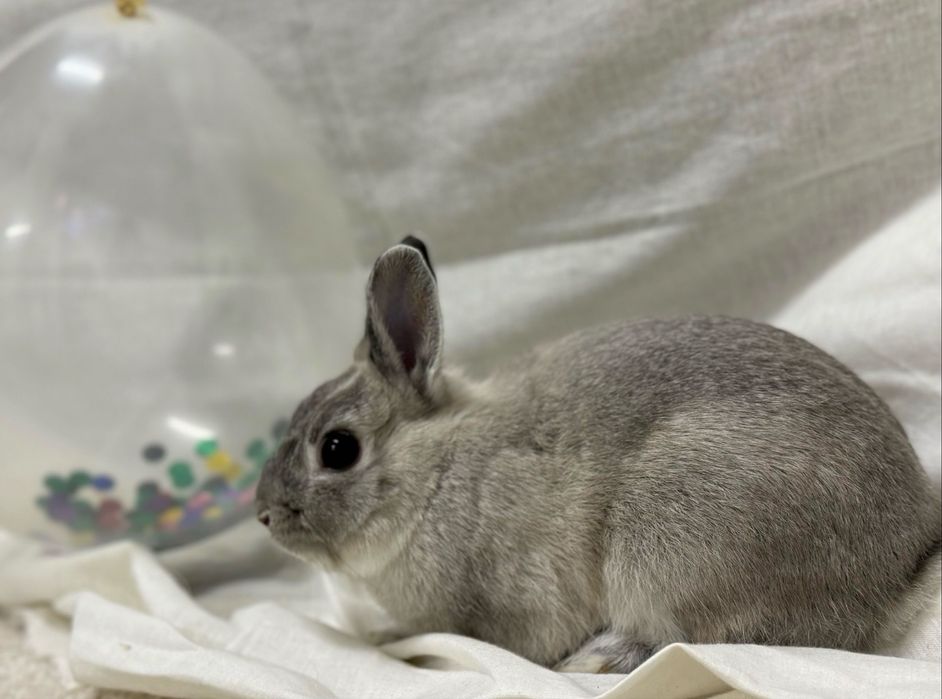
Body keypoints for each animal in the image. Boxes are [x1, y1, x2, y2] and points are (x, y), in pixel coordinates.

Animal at [256, 235, 942, 674]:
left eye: (338, 449)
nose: (264, 515)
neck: (437, 470)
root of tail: (900, 571)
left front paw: (388, 636)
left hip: (670, 542)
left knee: (698, 642)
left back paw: (597, 658)